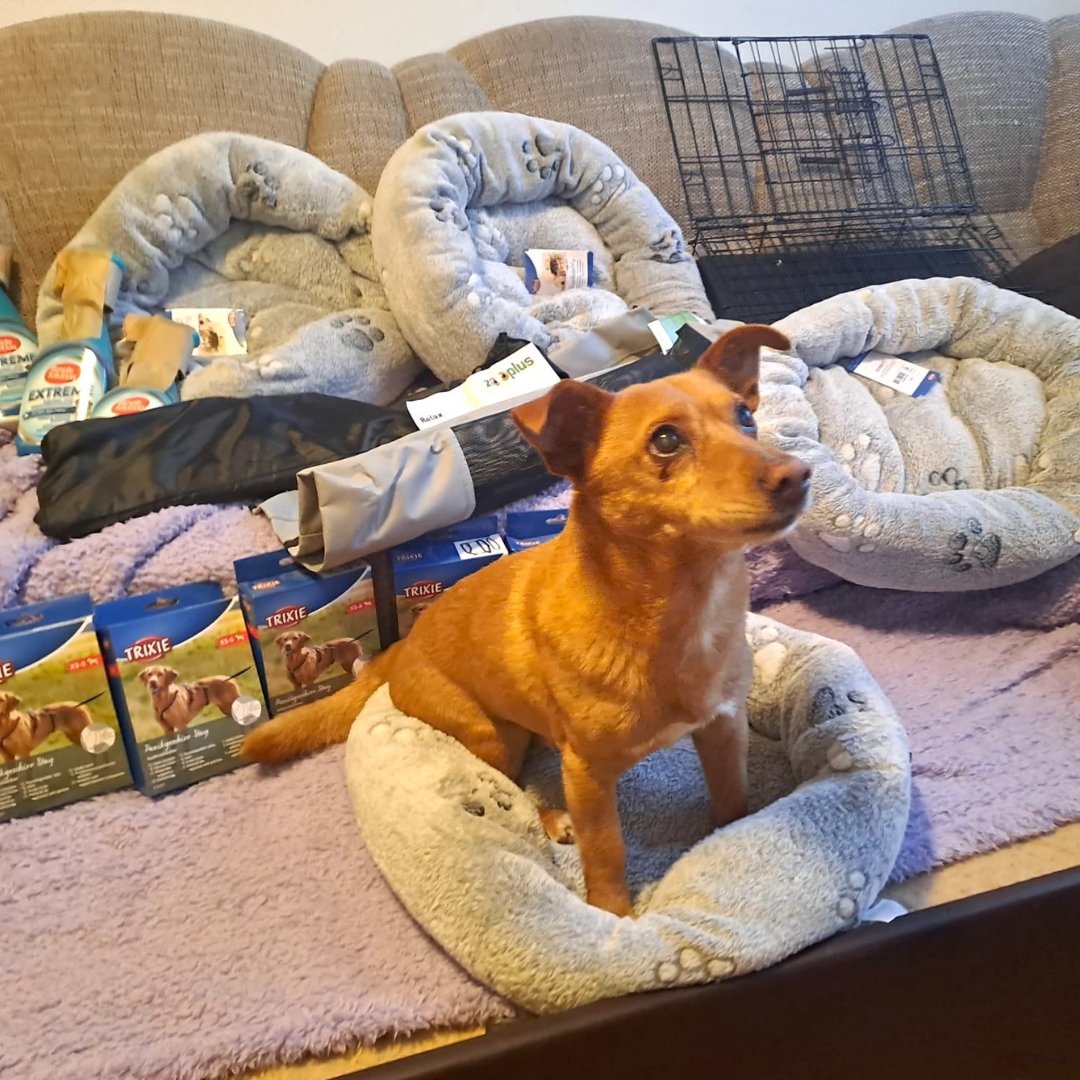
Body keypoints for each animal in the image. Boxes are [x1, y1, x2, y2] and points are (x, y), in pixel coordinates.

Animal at [242, 325, 810, 916]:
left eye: (744, 416)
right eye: (666, 440)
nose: (797, 476)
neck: (680, 610)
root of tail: (400, 650)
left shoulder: (724, 728)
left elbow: (732, 798)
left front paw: (729, 841)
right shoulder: (586, 775)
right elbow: (605, 851)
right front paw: (614, 916)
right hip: (492, 736)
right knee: (510, 785)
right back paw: (550, 817)